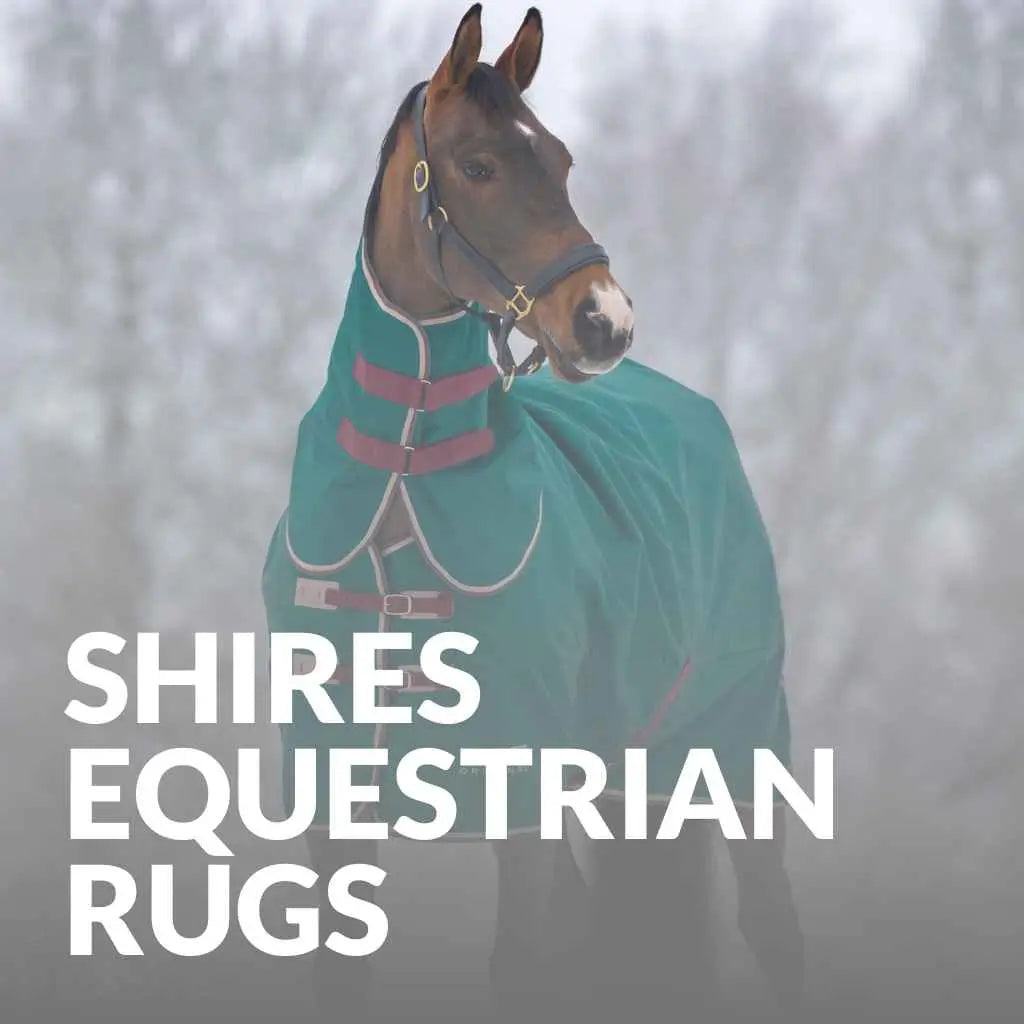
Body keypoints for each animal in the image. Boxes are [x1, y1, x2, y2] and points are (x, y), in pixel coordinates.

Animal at [262, 5, 803, 1018]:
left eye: (560, 158)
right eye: (478, 165)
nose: (605, 321)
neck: (403, 486)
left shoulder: (521, 801)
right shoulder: (333, 805)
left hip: (733, 754)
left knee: (771, 928)